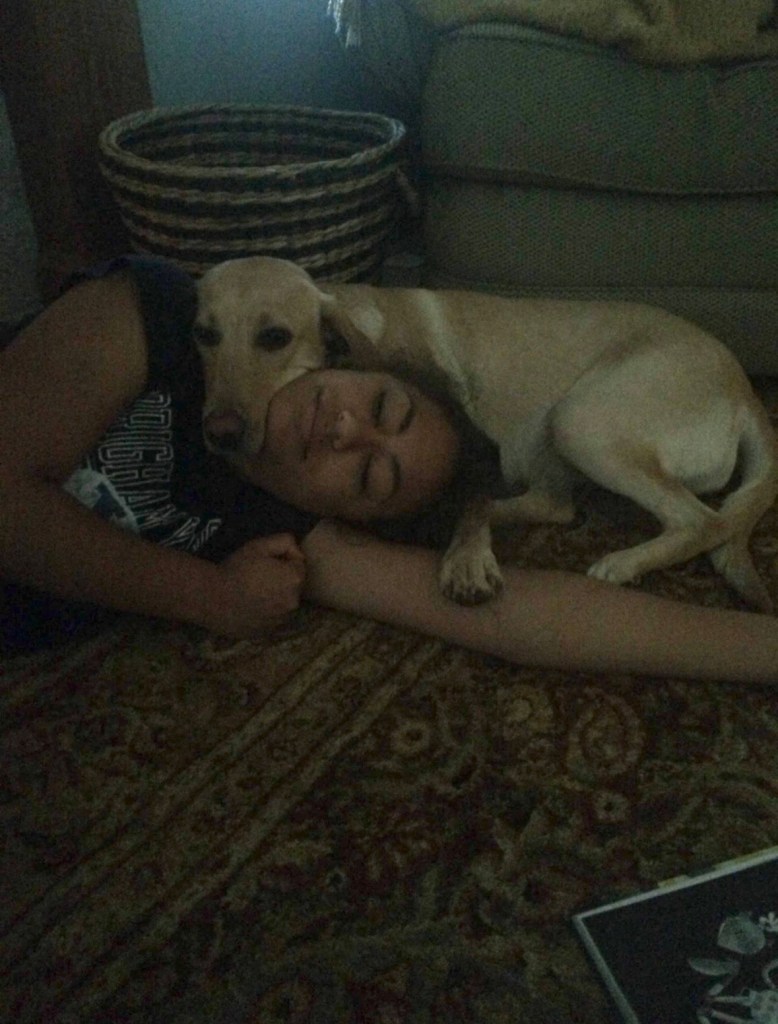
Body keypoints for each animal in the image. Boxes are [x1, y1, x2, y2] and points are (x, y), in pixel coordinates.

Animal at [195, 255, 777, 612]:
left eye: (275, 337)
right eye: (204, 334)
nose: (218, 434)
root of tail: (744, 390)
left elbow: (470, 501)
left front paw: (467, 560)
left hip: (577, 419)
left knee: (702, 521)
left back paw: (624, 562)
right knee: (559, 505)